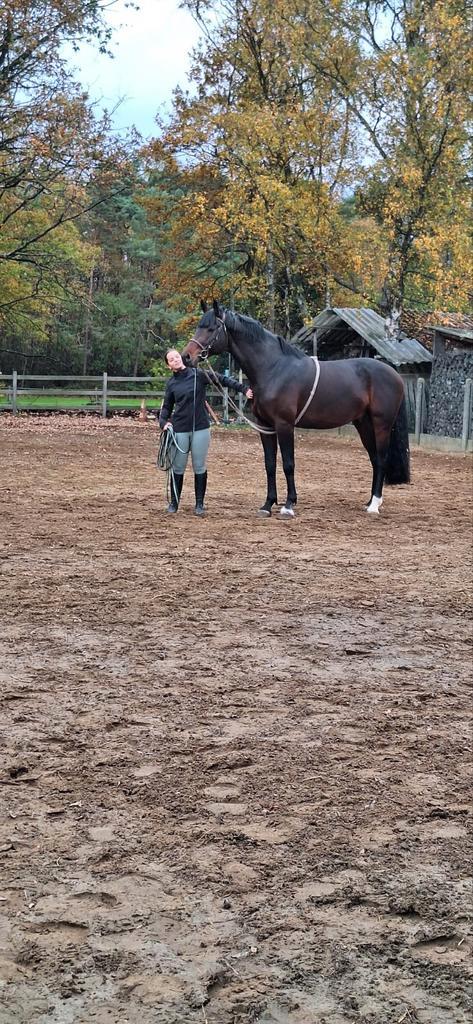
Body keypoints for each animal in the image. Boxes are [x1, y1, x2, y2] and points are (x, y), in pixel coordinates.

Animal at [182, 301, 410, 517]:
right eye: (199, 326)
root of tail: (395, 375)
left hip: (381, 424)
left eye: (211, 328)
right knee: (374, 459)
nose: (186, 356)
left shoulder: (284, 425)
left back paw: (374, 506)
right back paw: (370, 502)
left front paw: (288, 505)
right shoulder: (265, 426)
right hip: (363, 424)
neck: (274, 369)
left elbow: (288, 464)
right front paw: (267, 505)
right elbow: (270, 464)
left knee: (381, 459)